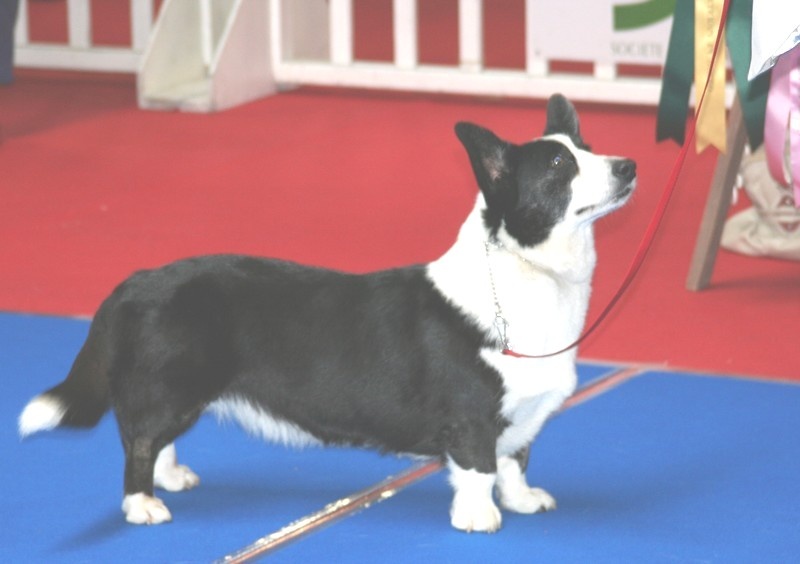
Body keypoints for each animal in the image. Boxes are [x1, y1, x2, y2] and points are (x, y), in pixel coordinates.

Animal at [19, 94, 636, 533]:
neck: (532, 275)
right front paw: (480, 520)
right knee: (140, 441)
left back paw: (172, 479)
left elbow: (515, 462)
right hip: (170, 386)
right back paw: (143, 504)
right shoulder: (472, 419)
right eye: (558, 163)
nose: (629, 165)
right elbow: (480, 470)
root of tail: (138, 281)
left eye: (588, 146)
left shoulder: (521, 417)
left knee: (159, 438)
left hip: (184, 391)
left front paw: (525, 501)